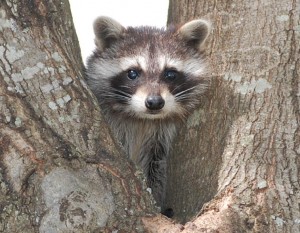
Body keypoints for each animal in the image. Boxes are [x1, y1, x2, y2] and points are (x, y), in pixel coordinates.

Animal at [85, 15, 210, 209]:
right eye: (132, 73)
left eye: (170, 74)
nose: (154, 102)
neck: (142, 119)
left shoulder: (161, 137)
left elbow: (156, 169)